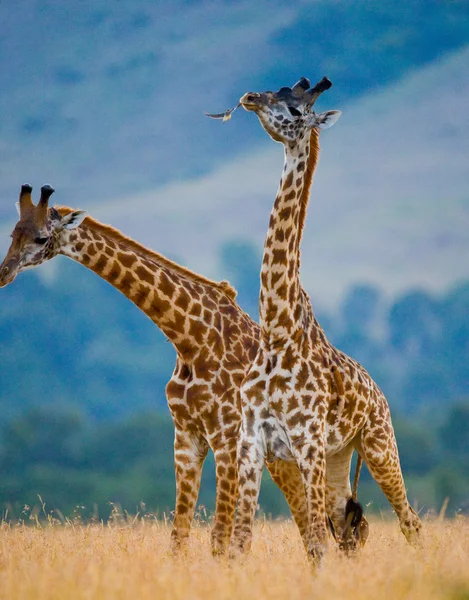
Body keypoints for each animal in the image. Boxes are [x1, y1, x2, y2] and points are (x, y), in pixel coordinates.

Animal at [0, 183, 366, 552]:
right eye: (13, 233)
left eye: (41, 238)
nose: (4, 274)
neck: (190, 340)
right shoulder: (185, 438)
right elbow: (179, 535)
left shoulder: (227, 439)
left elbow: (219, 536)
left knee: (328, 524)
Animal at [230, 76, 420, 564]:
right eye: (276, 90)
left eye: (297, 110)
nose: (249, 98)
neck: (277, 330)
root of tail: (379, 392)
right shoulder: (253, 442)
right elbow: (240, 542)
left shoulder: (307, 443)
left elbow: (315, 541)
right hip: (339, 458)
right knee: (350, 530)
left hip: (377, 444)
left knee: (409, 522)